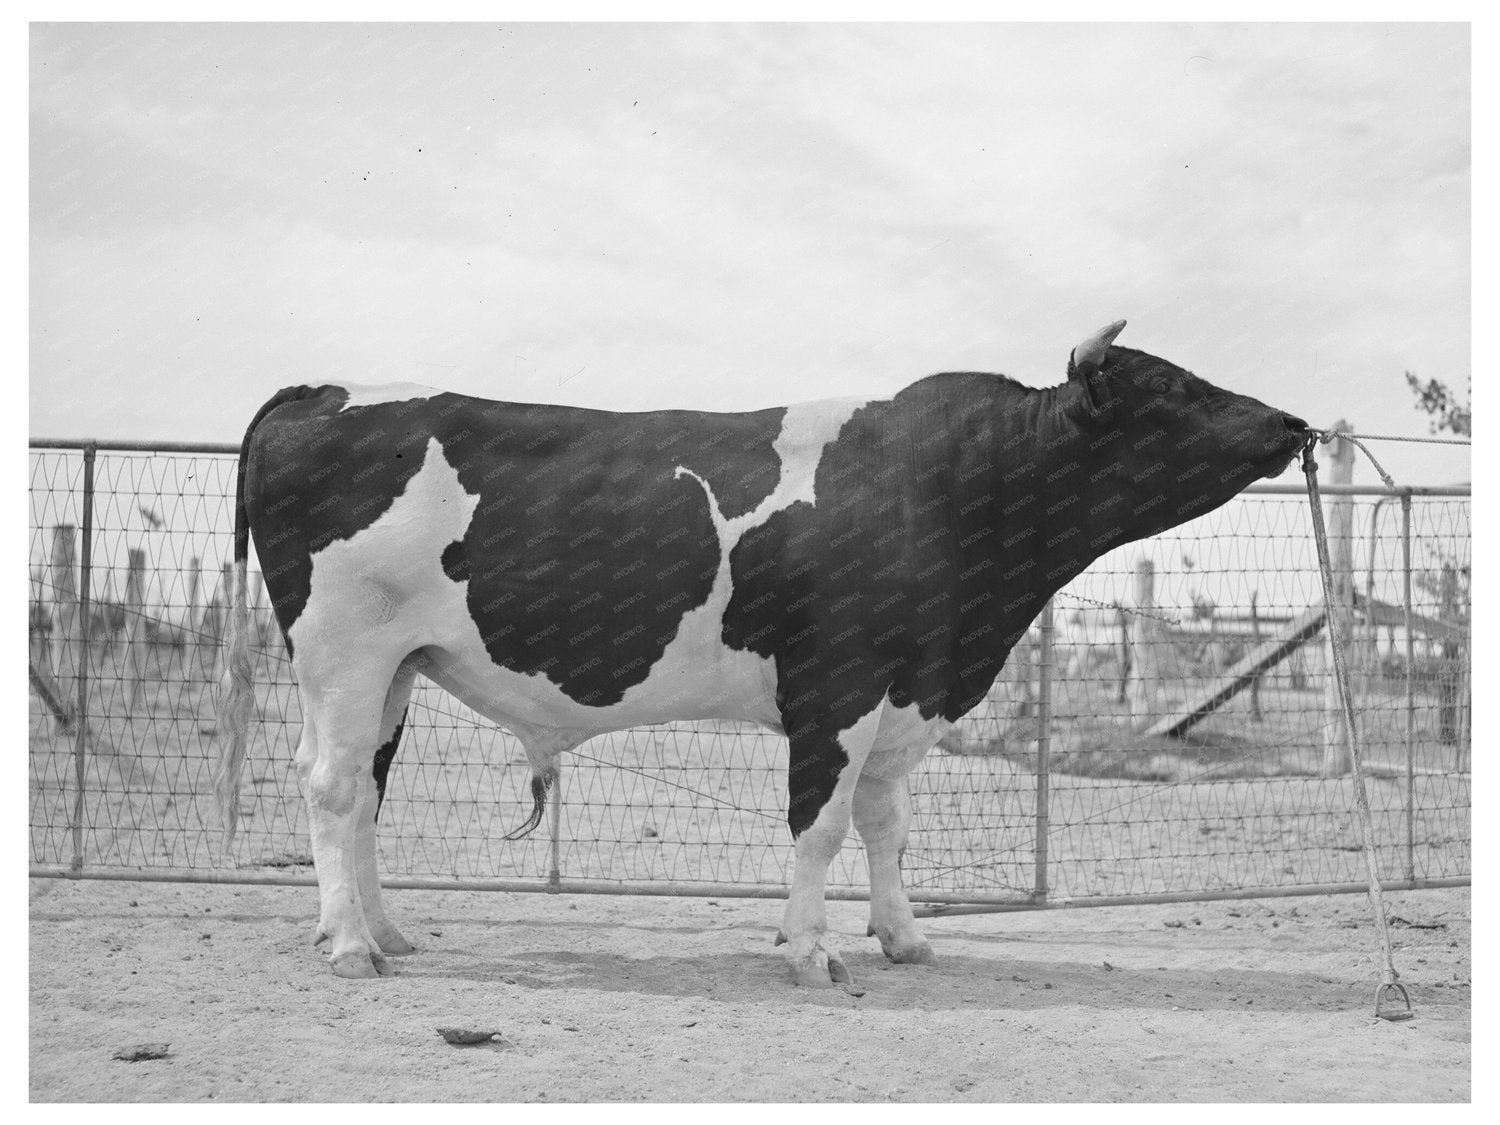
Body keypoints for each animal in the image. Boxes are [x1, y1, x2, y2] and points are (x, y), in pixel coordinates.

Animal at [216, 320, 1308, 986]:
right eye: (1167, 387)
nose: (1293, 420)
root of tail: (323, 389)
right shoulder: (839, 682)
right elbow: (818, 827)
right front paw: (809, 953)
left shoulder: (906, 692)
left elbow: (886, 824)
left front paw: (903, 937)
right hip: (345, 655)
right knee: (331, 785)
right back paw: (348, 945)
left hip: (397, 669)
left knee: (366, 790)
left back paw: (387, 931)